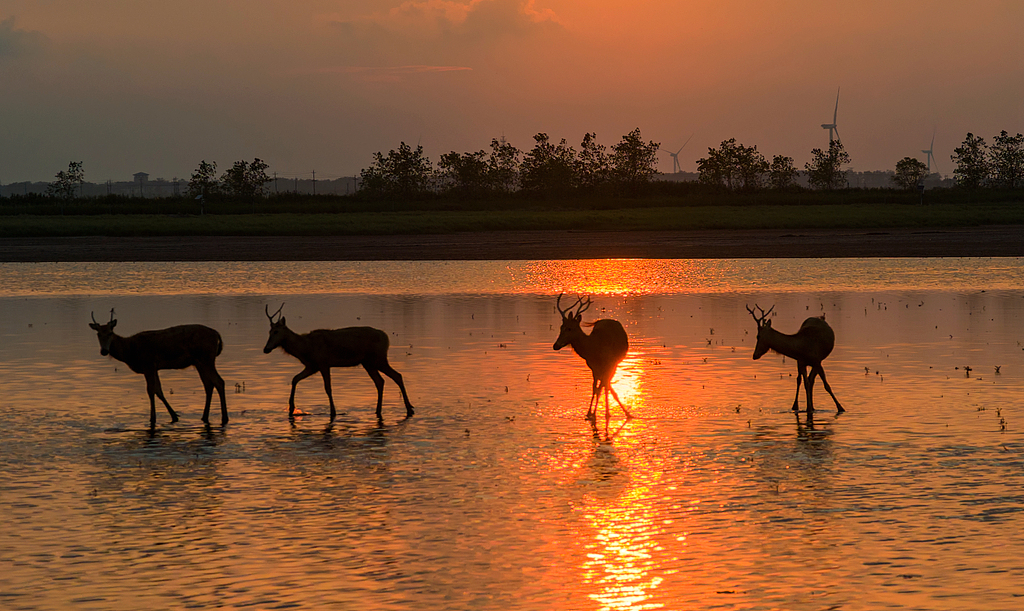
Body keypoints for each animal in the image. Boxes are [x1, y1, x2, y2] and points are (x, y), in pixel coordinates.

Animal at [88, 310, 228, 427]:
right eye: (98, 334)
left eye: (110, 333)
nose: (104, 351)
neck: (130, 351)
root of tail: (217, 334)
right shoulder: (154, 368)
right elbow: (159, 390)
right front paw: (174, 415)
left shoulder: (148, 364)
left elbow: (150, 391)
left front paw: (153, 419)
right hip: (200, 362)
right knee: (209, 384)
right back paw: (204, 416)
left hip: (206, 358)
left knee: (219, 381)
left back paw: (224, 417)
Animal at [262, 304, 414, 421]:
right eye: (269, 331)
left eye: (276, 331)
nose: (266, 349)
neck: (305, 348)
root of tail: (386, 337)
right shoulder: (312, 366)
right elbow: (294, 379)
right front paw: (291, 408)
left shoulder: (323, 363)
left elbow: (328, 388)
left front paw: (333, 412)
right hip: (368, 362)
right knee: (381, 381)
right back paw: (379, 409)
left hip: (378, 358)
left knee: (396, 375)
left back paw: (409, 408)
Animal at [553, 293, 632, 422]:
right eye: (561, 327)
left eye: (570, 328)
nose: (555, 345)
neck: (592, 350)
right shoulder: (593, 368)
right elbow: (595, 388)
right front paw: (590, 412)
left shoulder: (609, 364)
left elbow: (601, 388)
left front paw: (596, 413)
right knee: (605, 385)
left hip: (614, 364)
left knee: (606, 385)